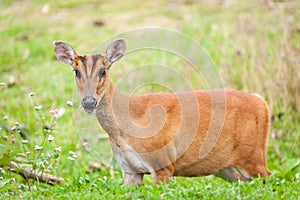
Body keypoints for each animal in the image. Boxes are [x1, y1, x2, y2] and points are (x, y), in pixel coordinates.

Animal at [54, 38, 272, 186]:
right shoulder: (129, 170)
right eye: (76, 71)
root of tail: (263, 104)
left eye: (103, 70)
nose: (89, 102)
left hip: (253, 156)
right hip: (228, 168)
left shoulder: (163, 163)